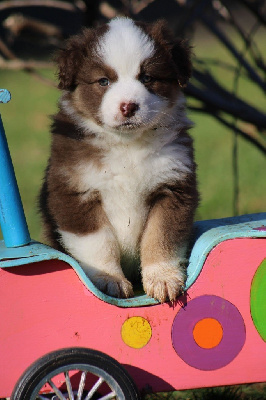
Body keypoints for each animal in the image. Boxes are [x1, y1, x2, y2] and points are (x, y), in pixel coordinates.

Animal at [39, 17, 197, 302]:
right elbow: (100, 243)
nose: (128, 106)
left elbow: (161, 236)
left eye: (147, 78)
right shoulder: (75, 192)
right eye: (103, 81)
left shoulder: (173, 186)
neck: (127, 145)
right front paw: (108, 280)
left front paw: (163, 278)